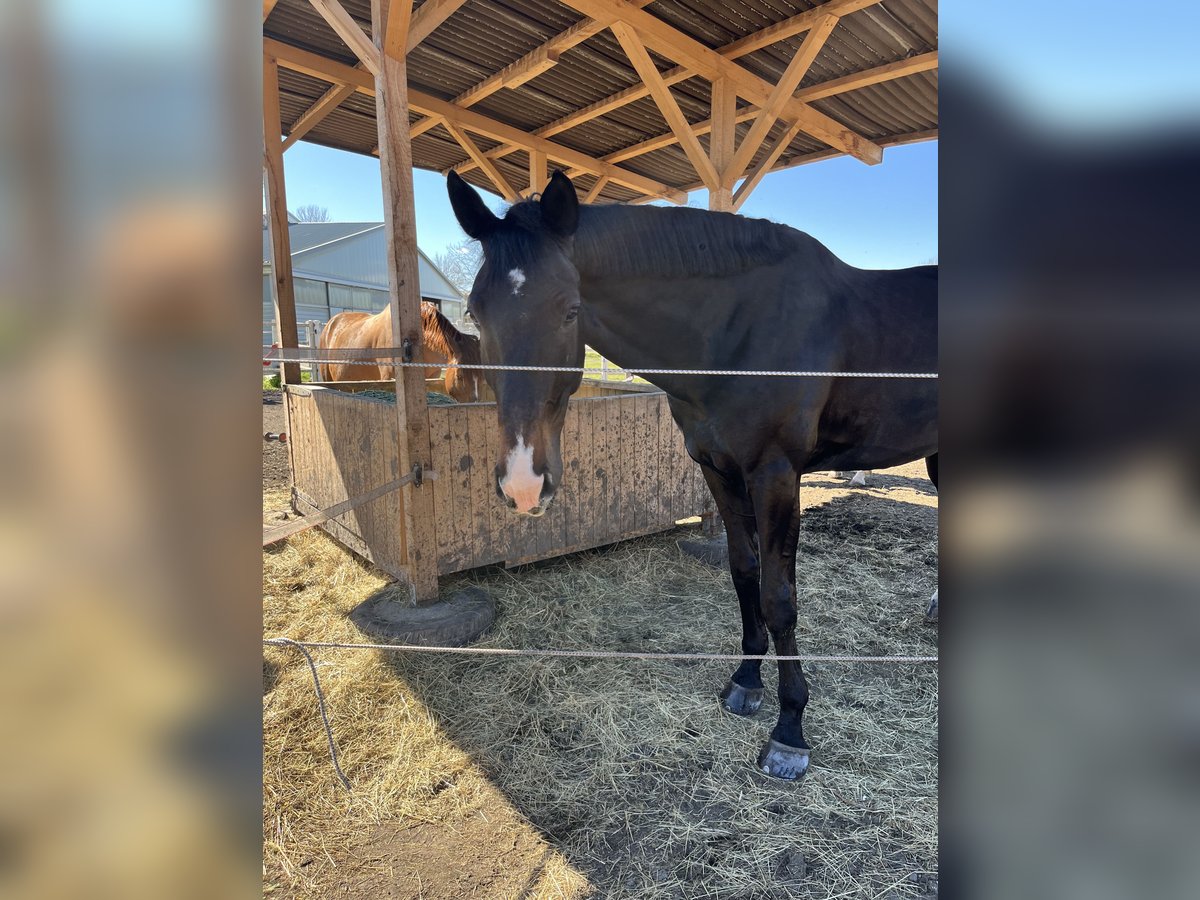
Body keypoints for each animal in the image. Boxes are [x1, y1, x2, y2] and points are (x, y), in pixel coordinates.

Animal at [451, 170, 936, 782]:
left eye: (570, 309)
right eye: (475, 311)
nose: (523, 483)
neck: (736, 333)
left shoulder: (776, 473)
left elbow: (779, 595)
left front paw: (790, 730)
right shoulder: (717, 469)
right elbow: (743, 572)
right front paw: (746, 683)